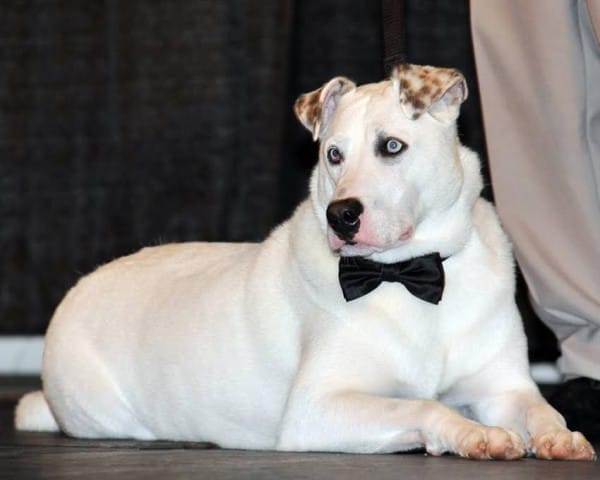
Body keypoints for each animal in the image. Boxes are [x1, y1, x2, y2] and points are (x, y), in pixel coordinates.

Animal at [15, 64, 596, 460]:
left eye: (391, 146)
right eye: (333, 155)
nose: (342, 215)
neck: (406, 274)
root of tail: (81, 286)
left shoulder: (504, 387)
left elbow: (539, 407)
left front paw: (559, 435)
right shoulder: (317, 408)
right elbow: (422, 404)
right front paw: (470, 432)